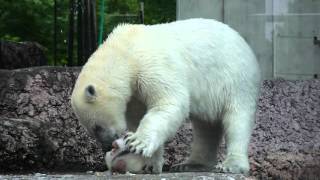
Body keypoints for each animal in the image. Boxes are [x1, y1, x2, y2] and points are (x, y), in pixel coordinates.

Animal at [71, 18, 262, 174]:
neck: (125, 51)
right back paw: (192, 164)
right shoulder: (134, 93)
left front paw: (138, 142)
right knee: (205, 127)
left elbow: (168, 103)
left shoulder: (152, 64)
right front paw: (150, 163)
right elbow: (140, 116)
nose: (107, 145)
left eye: (96, 127)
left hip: (235, 77)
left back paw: (231, 165)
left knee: (237, 118)